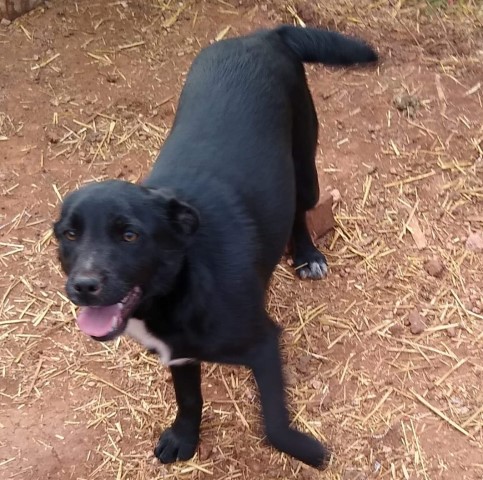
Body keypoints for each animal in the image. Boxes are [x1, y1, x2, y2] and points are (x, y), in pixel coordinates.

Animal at [54, 26, 378, 468]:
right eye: (69, 235)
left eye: (129, 235)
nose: (83, 286)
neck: (182, 282)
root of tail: (262, 34)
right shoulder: (180, 354)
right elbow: (189, 400)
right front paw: (185, 439)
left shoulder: (263, 343)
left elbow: (274, 424)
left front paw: (308, 450)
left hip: (305, 164)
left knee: (300, 209)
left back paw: (307, 255)